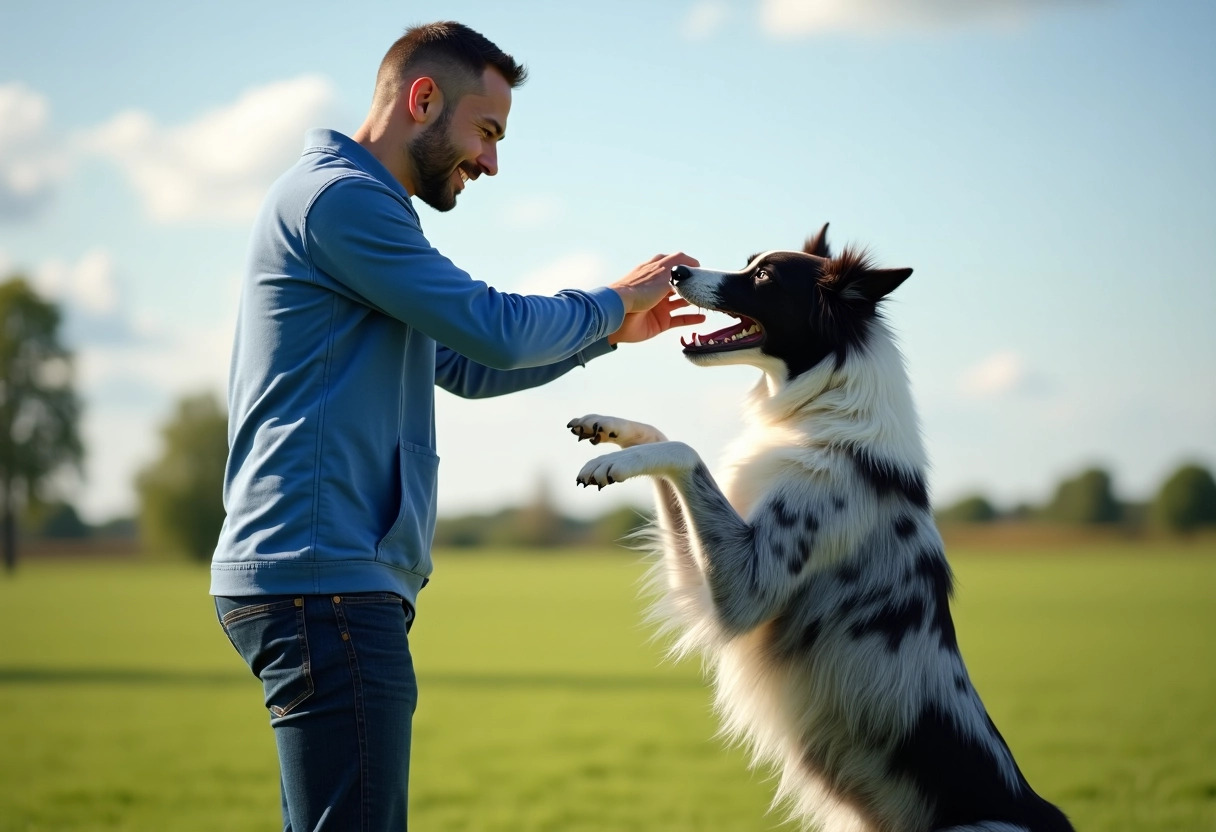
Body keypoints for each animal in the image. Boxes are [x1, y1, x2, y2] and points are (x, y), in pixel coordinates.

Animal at [564, 226, 1070, 832]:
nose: (676, 273)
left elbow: (686, 451)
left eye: (763, 277)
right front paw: (608, 428)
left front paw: (609, 463)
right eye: (748, 261)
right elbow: (666, 437)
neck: (827, 404)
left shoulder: (747, 588)